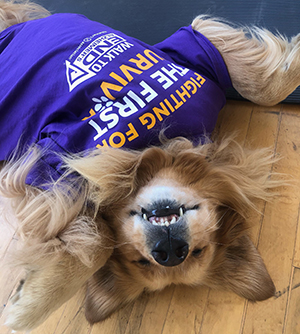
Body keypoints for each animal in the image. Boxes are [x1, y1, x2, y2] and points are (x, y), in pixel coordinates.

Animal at [1, 0, 300, 330]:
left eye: (198, 253)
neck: (152, 146)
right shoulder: (46, 164)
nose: (170, 252)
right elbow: (99, 242)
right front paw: (28, 307)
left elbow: (265, 92)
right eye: (140, 262)